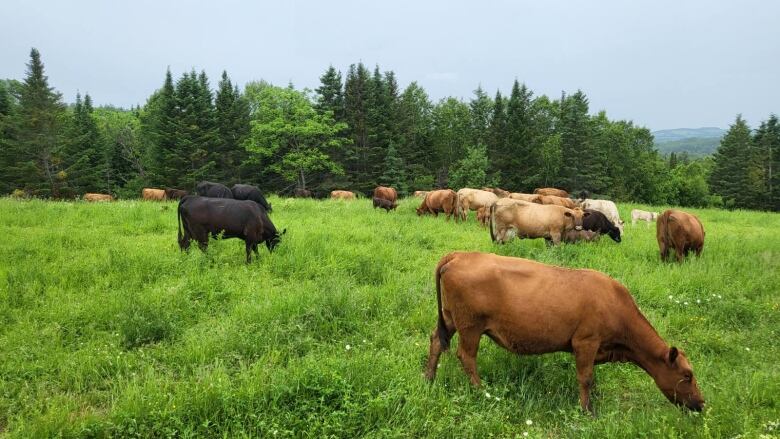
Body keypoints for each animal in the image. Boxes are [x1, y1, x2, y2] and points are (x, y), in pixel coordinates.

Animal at [426, 253, 708, 414]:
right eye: (687, 375)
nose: (701, 403)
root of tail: (460, 255)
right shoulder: (586, 341)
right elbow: (585, 378)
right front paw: (586, 410)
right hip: (470, 326)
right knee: (466, 356)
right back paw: (480, 391)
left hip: (450, 318)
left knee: (436, 341)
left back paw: (428, 378)